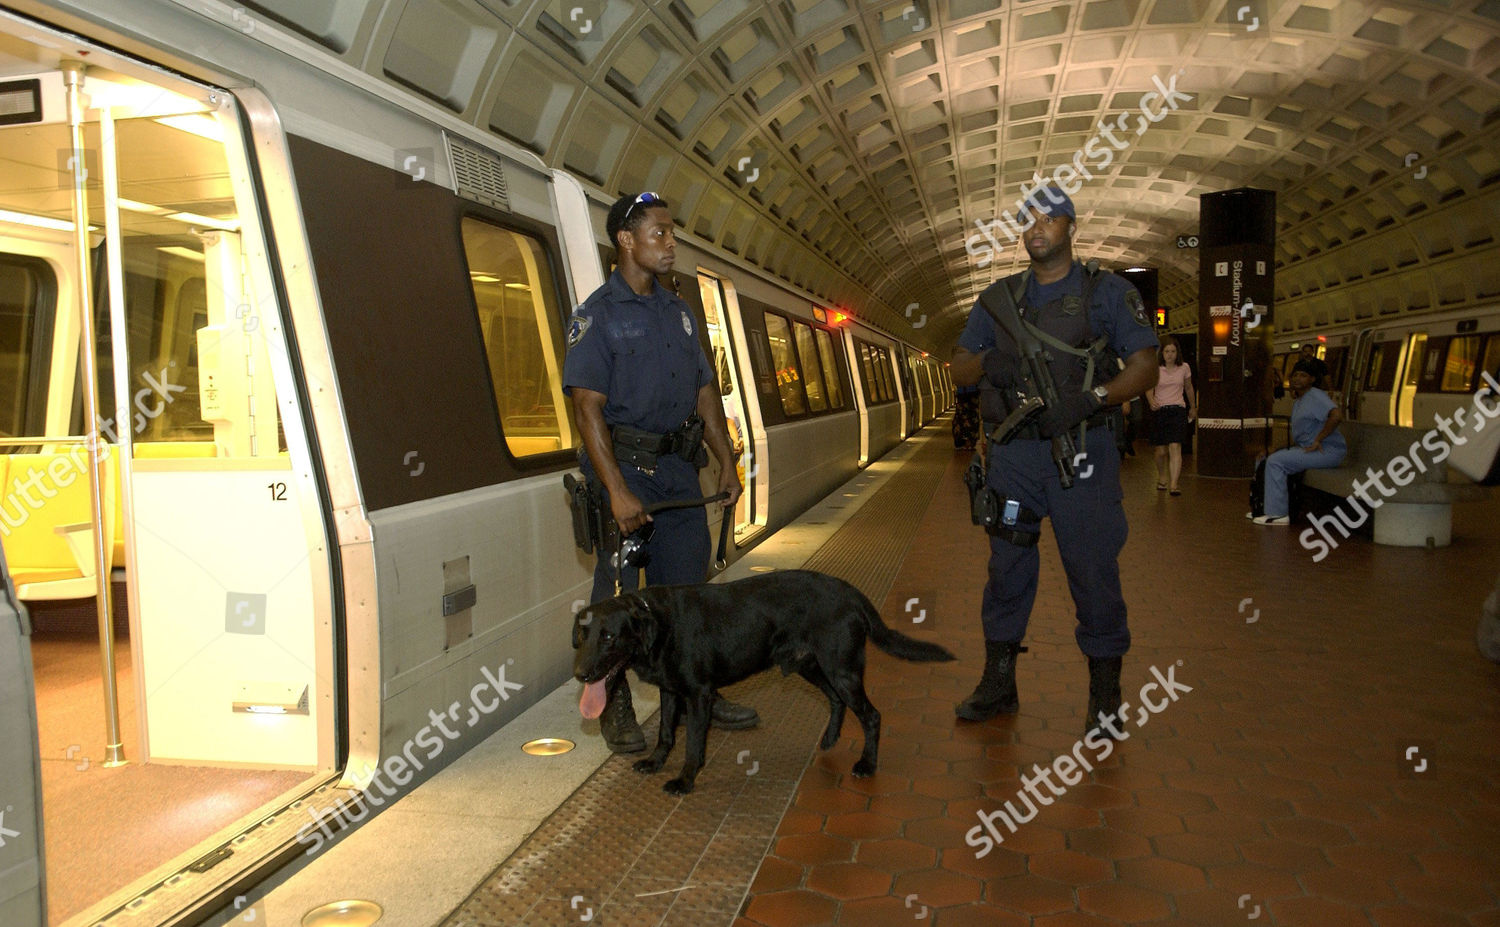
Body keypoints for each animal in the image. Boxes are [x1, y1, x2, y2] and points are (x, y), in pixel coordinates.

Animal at [567, 567, 954, 792]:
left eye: (608, 637)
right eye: (582, 635)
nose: (579, 674)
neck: (659, 624)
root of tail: (850, 591)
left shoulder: (699, 695)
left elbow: (693, 743)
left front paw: (685, 780)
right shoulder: (670, 691)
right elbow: (665, 733)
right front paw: (655, 763)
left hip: (841, 669)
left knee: (871, 715)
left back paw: (867, 765)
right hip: (810, 666)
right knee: (835, 700)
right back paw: (829, 740)